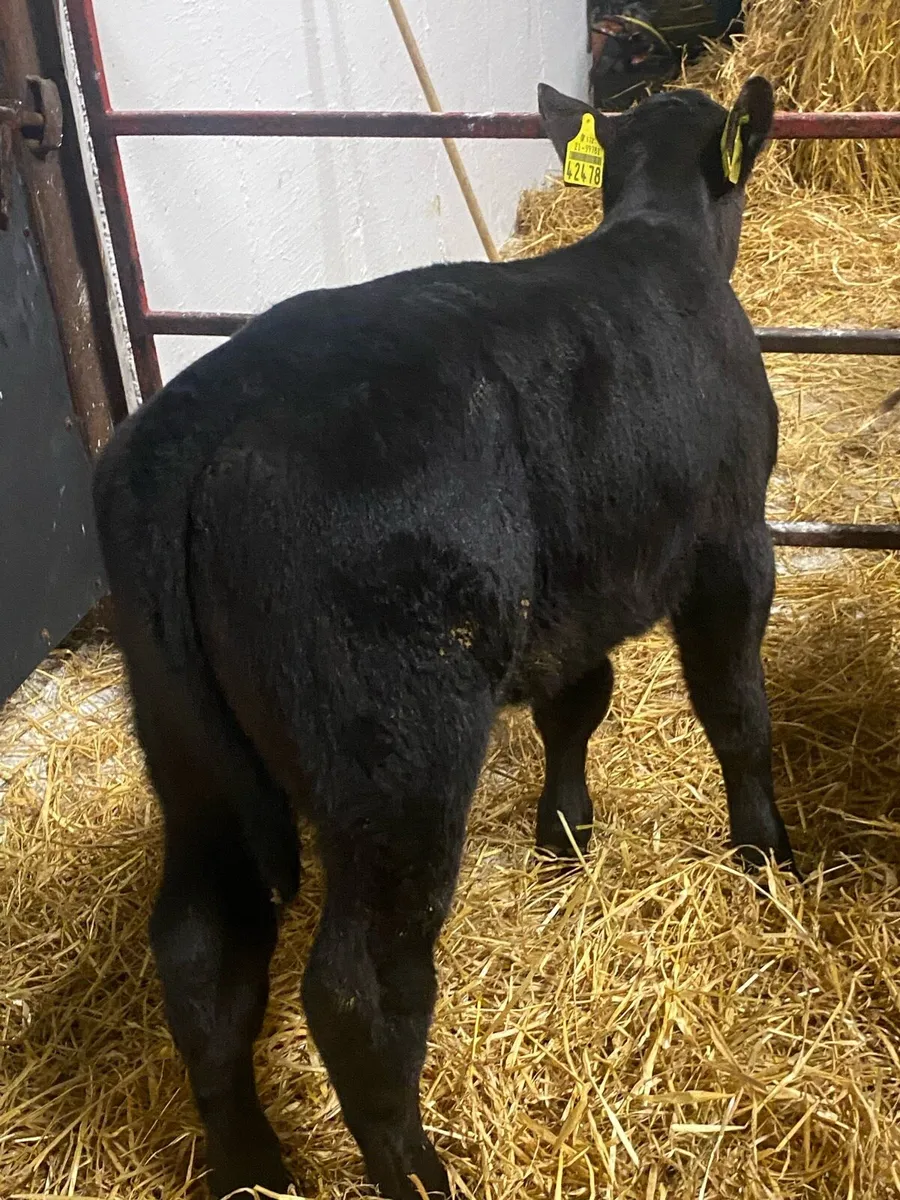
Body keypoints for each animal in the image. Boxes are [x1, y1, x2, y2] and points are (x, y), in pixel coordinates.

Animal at [92, 76, 795, 1200]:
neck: (658, 234)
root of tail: (205, 421)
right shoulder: (731, 543)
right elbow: (736, 712)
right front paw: (764, 852)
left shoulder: (568, 598)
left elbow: (576, 706)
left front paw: (565, 835)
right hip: (396, 747)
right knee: (359, 991)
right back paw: (419, 1172)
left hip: (183, 745)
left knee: (202, 952)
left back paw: (250, 1165)